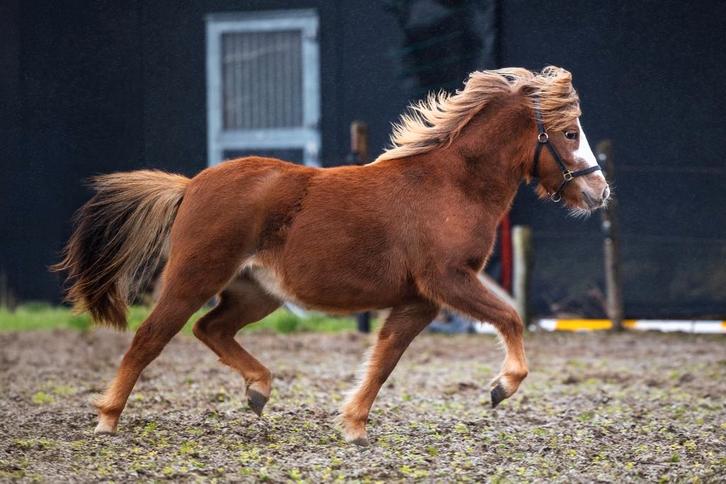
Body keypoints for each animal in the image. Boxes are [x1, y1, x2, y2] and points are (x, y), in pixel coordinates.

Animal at [53, 66, 609, 445]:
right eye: (569, 133)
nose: (598, 193)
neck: (450, 186)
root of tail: (190, 186)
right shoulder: (448, 281)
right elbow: (510, 317)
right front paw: (501, 387)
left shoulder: (420, 300)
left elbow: (384, 358)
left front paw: (354, 425)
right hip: (194, 278)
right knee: (149, 338)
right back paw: (107, 418)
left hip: (257, 295)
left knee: (211, 329)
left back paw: (258, 390)